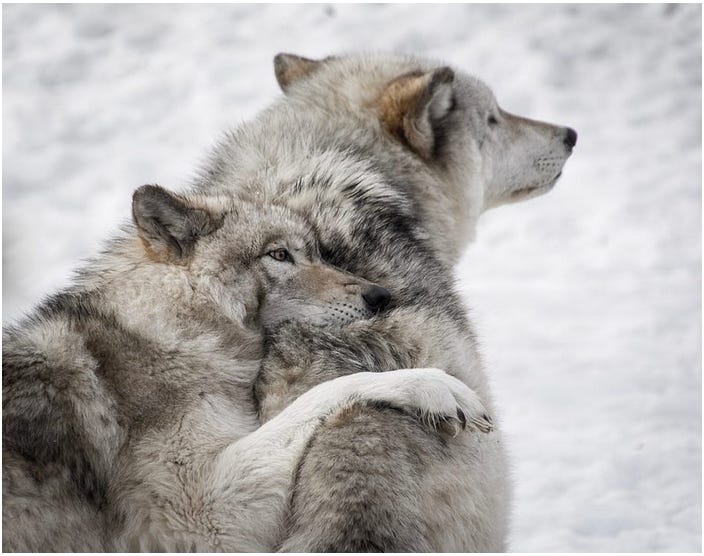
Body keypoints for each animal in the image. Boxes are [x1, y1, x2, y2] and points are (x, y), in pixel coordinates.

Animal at [2, 184, 492, 551]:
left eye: (317, 252)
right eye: (279, 255)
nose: (380, 296)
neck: (171, 328)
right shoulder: (203, 517)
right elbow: (332, 389)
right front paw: (435, 387)